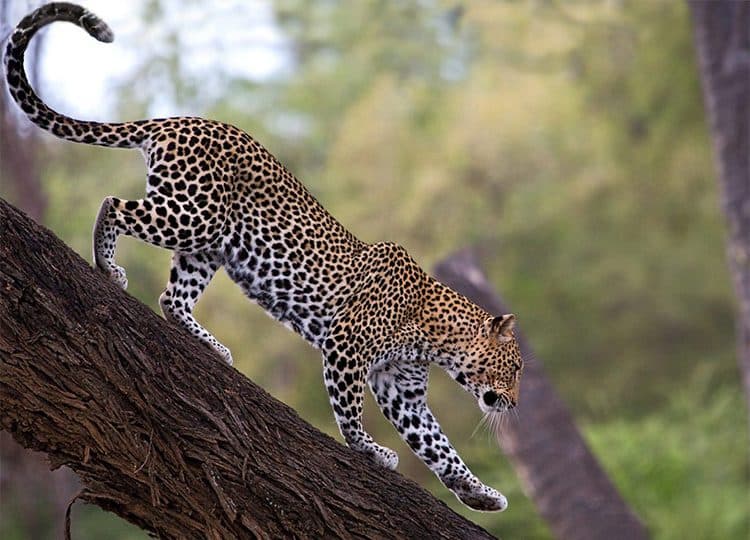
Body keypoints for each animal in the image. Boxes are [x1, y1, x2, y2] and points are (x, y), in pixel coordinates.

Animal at [4, 2, 524, 512]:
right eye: (516, 369)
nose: (515, 404)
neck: (436, 336)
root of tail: (180, 120)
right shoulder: (346, 346)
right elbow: (351, 412)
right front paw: (370, 450)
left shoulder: (403, 389)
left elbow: (438, 445)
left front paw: (479, 493)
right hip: (192, 215)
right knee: (113, 205)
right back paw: (108, 266)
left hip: (208, 246)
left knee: (173, 298)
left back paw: (211, 346)